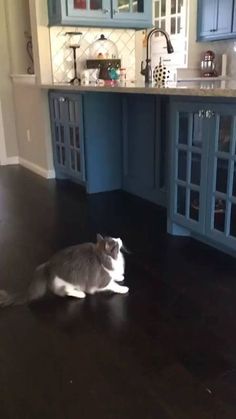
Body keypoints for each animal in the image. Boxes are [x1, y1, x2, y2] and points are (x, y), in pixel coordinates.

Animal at [0, 235, 128, 306]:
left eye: (115, 238)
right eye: (116, 243)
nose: (120, 238)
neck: (101, 256)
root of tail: (48, 266)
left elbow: (116, 276)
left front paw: (120, 276)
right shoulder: (101, 282)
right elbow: (114, 285)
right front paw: (124, 288)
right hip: (67, 283)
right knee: (63, 291)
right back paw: (80, 294)